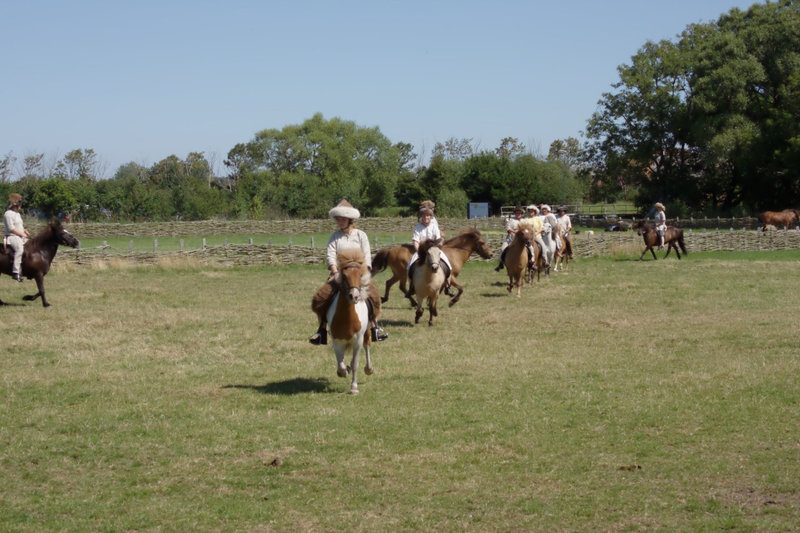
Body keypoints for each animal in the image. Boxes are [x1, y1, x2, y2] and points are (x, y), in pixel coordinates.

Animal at [326, 247, 374, 392]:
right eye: (345, 276)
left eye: (359, 275)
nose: (354, 296)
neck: (346, 317)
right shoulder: (336, 340)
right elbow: (340, 364)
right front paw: (343, 371)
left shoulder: (357, 341)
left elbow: (355, 364)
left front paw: (353, 387)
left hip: (367, 331)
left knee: (367, 345)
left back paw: (369, 369)